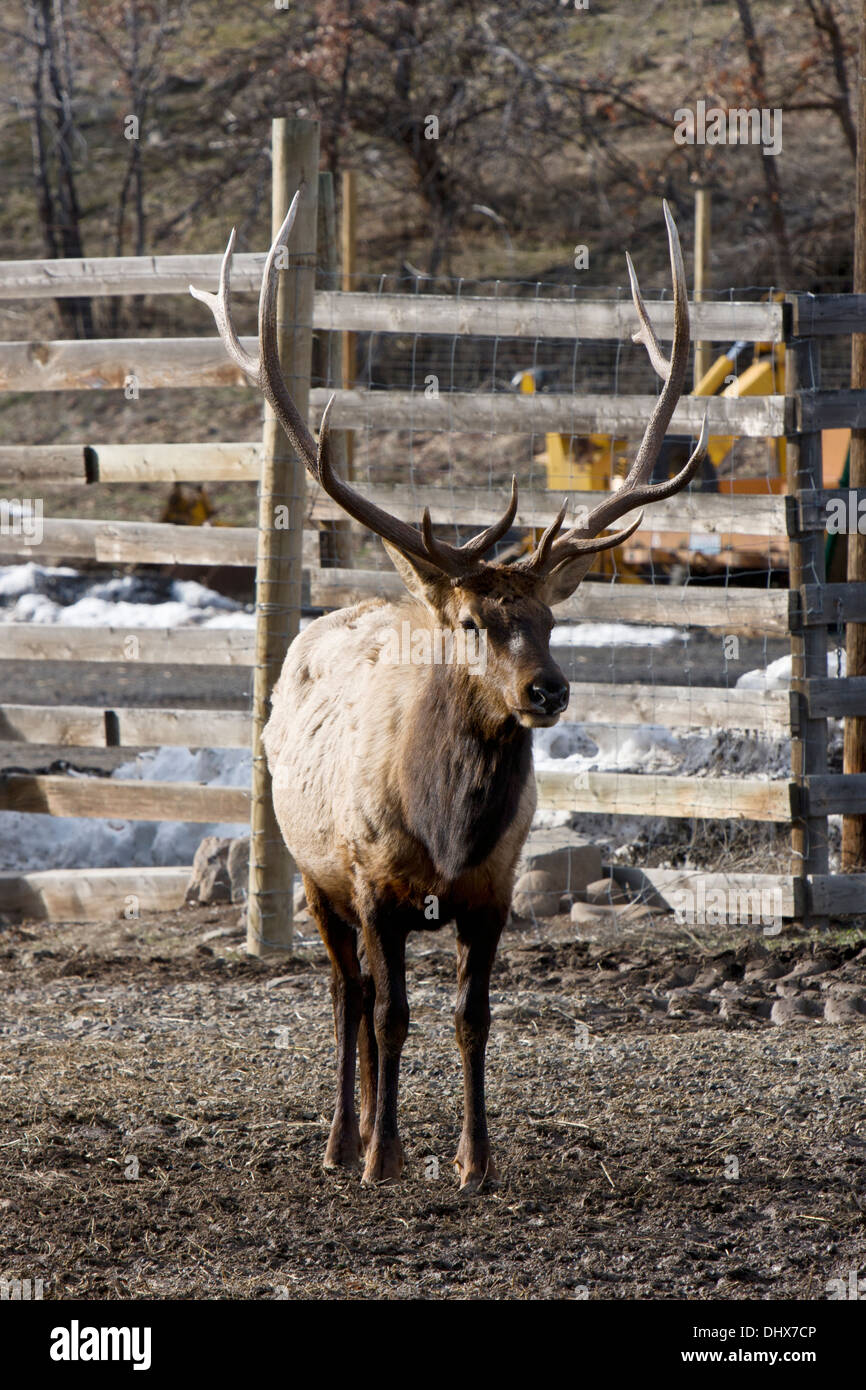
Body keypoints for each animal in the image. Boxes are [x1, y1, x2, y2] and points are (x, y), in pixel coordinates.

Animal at [191, 196, 707, 1192]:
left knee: (365, 999)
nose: (548, 690)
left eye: (549, 618)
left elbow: (473, 1017)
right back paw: (342, 1139)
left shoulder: (493, 888)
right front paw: (385, 1155)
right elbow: (392, 1015)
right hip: (310, 869)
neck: (445, 825)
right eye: (471, 622)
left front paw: (476, 1159)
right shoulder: (372, 882)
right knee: (348, 995)